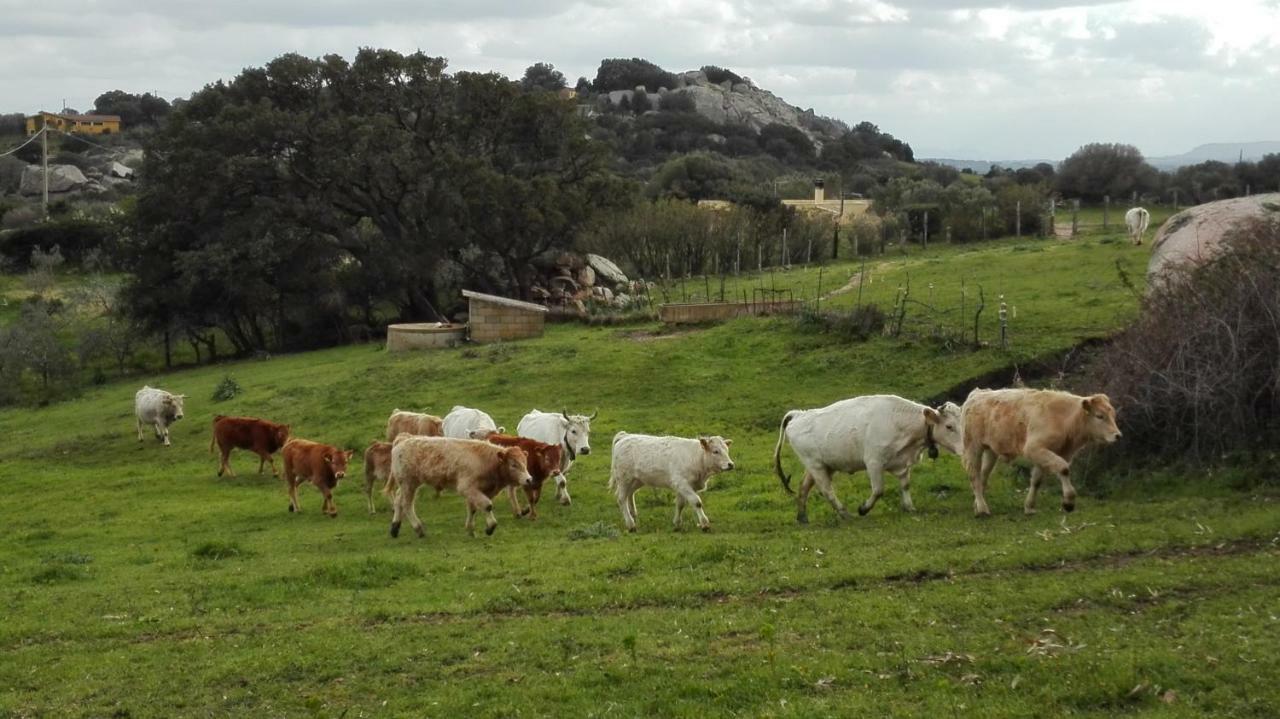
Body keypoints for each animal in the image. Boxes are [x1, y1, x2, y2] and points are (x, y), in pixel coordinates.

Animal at [386, 429, 532, 537]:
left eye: (525, 463)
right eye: (513, 465)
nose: (529, 479)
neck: (484, 460)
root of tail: (403, 439)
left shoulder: (476, 492)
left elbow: (473, 509)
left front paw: (470, 529)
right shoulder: (467, 488)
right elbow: (487, 505)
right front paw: (490, 527)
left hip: (408, 484)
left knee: (398, 500)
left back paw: (395, 528)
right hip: (408, 483)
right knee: (406, 504)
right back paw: (418, 528)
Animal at [606, 427, 737, 529]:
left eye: (727, 450)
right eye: (716, 451)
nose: (730, 464)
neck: (695, 457)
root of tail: (625, 436)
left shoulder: (684, 486)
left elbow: (680, 504)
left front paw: (677, 523)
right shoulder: (681, 483)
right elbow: (696, 502)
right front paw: (704, 524)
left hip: (636, 480)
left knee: (630, 494)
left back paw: (634, 515)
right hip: (624, 479)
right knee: (621, 498)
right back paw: (630, 524)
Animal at [768, 391, 962, 519]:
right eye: (949, 426)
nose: (963, 449)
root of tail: (799, 414)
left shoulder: (902, 463)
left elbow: (905, 485)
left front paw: (909, 507)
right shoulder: (874, 462)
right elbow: (878, 490)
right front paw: (863, 509)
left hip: (822, 465)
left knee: (804, 487)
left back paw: (802, 517)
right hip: (815, 464)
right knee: (826, 490)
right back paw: (845, 514)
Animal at [962, 386, 1121, 514]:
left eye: (1113, 415)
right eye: (1099, 416)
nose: (1118, 435)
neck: (1064, 418)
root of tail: (978, 393)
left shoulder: (1047, 453)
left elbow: (1037, 481)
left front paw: (1029, 507)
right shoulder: (1034, 448)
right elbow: (1063, 468)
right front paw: (1068, 502)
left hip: (991, 450)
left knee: (983, 475)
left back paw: (977, 504)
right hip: (972, 446)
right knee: (974, 475)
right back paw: (982, 509)